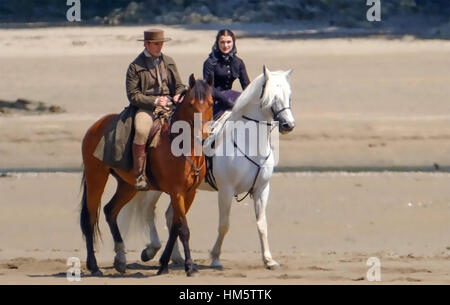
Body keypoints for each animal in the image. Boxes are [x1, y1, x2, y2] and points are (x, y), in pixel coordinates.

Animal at [80, 74, 213, 276]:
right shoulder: (177, 192)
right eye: (191, 104)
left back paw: (120, 259)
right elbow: (183, 229)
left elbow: (175, 227)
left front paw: (164, 264)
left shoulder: (189, 193)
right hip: (96, 177)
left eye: (211, 103)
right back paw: (94, 266)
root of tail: (95, 126)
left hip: (127, 186)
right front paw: (189, 266)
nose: (203, 134)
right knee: (90, 218)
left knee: (110, 210)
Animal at [118, 64, 298, 268]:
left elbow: (262, 224)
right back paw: (151, 249)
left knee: (171, 216)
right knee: (148, 210)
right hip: (157, 188)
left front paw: (268, 260)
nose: (288, 124)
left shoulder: (262, 189)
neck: (249, 143)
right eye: (271, 97)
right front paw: (215, 257)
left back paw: (176, 257)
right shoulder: (226, 190)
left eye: (289, 95)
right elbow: (224, 225)